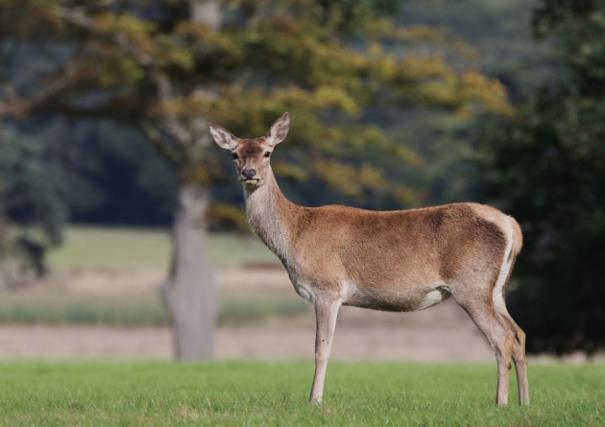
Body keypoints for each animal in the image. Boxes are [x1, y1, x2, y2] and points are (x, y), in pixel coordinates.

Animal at [209, 113, 528, 408]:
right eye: (234, 153)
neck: (295, 233)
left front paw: (314, 400)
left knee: (501, 338)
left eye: (267, 152)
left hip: (471, 285)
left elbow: (321, 349)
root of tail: (511, 225)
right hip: (495, 288)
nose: (249, 172)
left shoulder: (327, 289)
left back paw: (501, 402)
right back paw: (524, 402)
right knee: (519, 334)